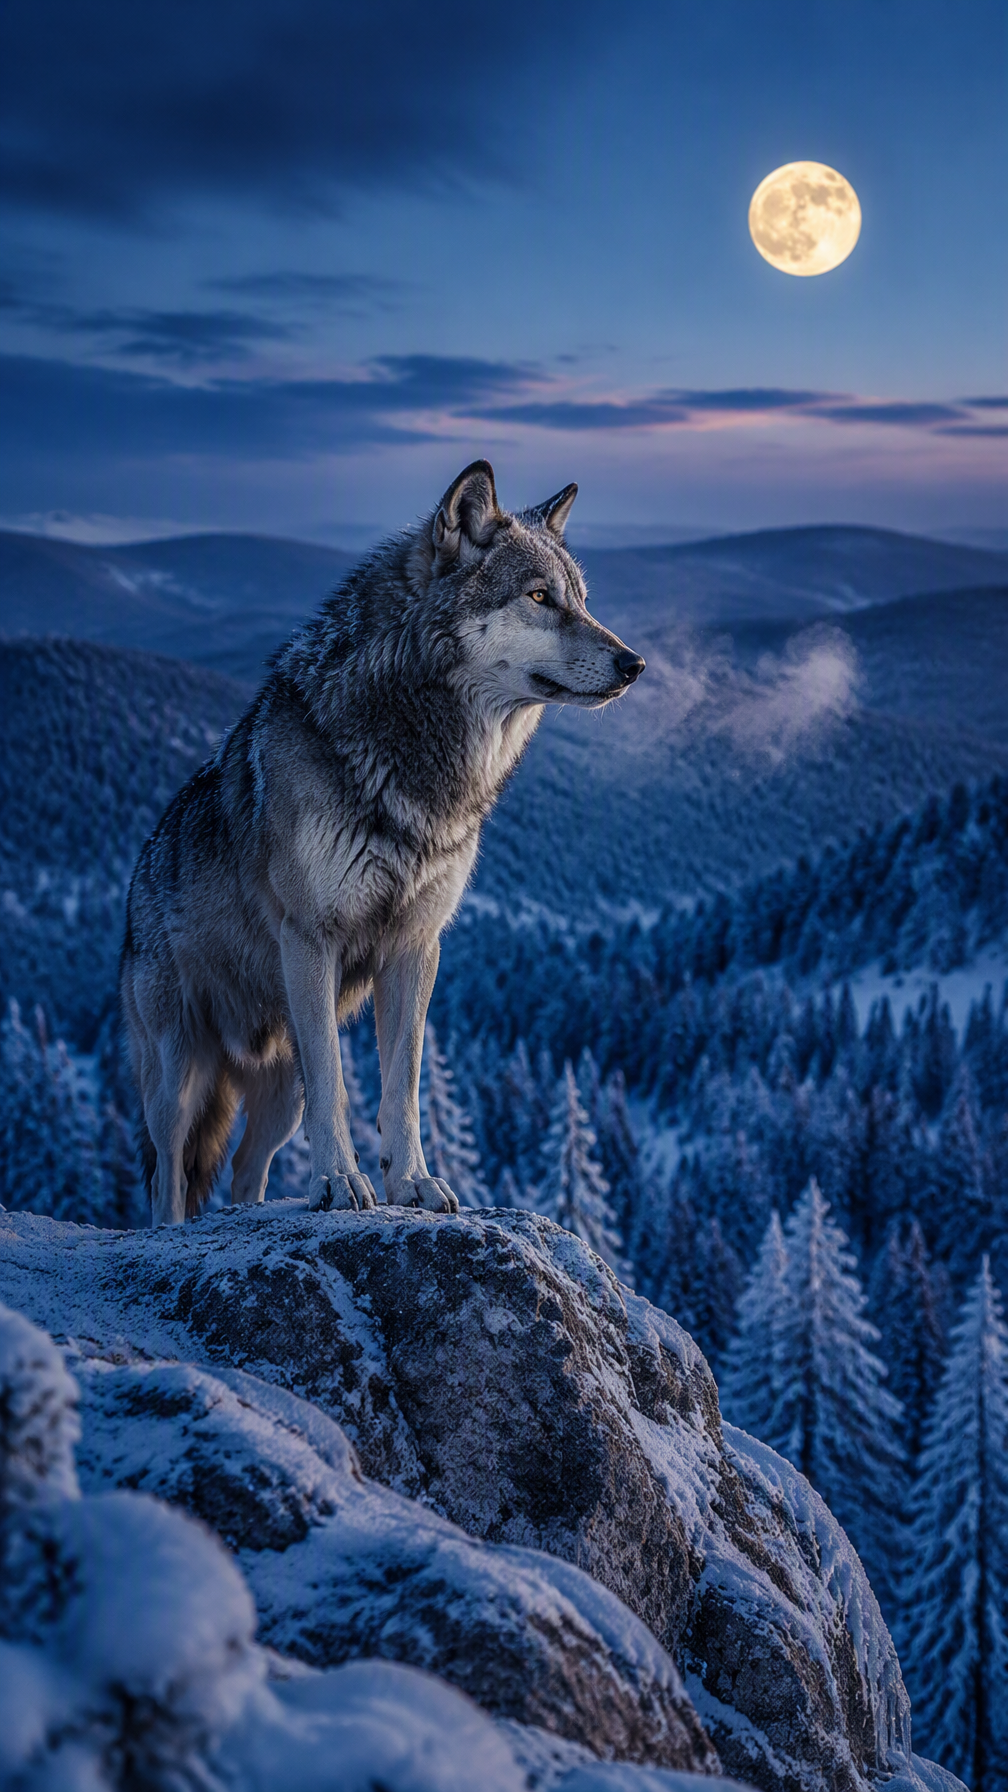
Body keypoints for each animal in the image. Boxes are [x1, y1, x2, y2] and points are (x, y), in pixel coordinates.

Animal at [121, 461, 645, 1226]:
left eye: (581, 600)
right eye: (539, 597)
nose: (634, 663)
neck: (419, 766)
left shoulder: (415, 948)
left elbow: (404, 1086)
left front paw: (413, 1184)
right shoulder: (312, 941)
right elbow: (340, 1086)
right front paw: (343, 1184)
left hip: (278, 1089)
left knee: (247, 1168)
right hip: (178, 1076)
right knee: (168, 1173)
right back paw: (179, 1229)